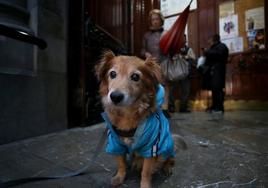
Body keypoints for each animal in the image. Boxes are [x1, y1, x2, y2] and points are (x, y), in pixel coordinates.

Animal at [94, 51, 184, 188]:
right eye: (112, 74)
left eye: (135, 77)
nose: (115, 96)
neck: (127, 113)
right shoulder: (115, 144)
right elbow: (120, 163)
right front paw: (119, 177)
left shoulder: (151, 147)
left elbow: (146, 171)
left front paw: (145, 185)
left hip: (167, 144)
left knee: (170, 158)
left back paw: (167, 168)